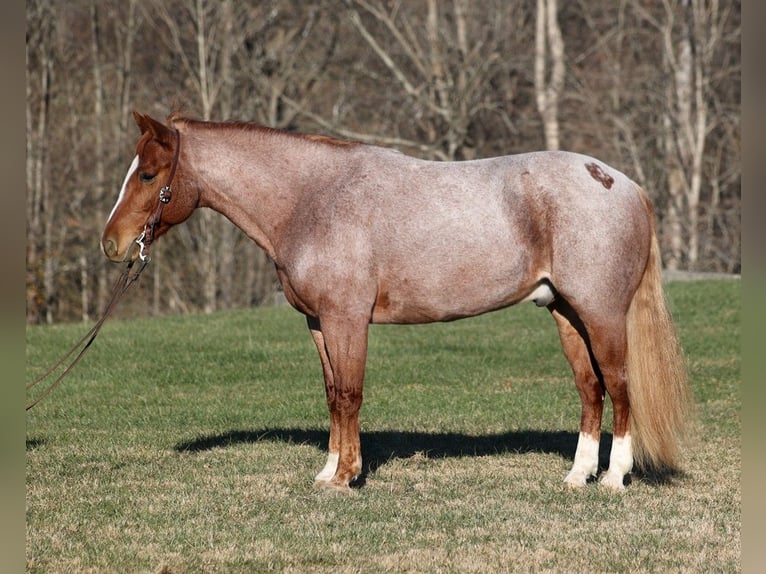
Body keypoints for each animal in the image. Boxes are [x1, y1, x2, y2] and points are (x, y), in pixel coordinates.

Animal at [102, 112, 696, 496]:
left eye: (149, 174)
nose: (111, 244)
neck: (312, 200)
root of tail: (621, 183)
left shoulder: (347, 319)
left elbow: (349, 394)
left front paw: (345, 478)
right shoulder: (319, 322)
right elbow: (332, 395)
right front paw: (329, 472)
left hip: (600, 314)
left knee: (619, 385)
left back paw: (614, 479)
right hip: (565, 313)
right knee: (590, 389)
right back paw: (577, 477)